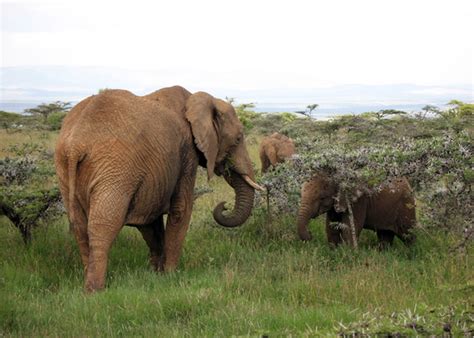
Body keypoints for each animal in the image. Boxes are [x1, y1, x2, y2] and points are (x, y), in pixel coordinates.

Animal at [56, 86, 264, 292]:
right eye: (238, 139)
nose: (225, 205)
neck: (199, 99)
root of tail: (76, 144)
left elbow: (149, 220)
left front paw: (157, 274)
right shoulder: (187, 152)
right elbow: (181, 209)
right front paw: (171, 275)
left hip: (64, 167)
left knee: (79, 225)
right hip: (114, 166)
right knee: (103, 224)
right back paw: (95, 290)